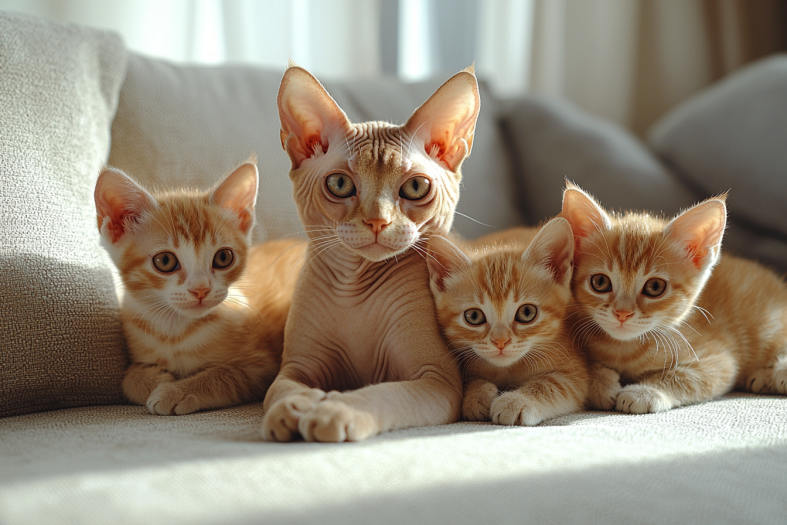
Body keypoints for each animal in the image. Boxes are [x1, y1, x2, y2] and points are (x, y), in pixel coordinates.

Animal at [262, 65, 480, 442]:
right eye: (339, 184)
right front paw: (292, 408)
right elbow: (279, 390)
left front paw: (335, 409)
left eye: (416, 187)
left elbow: (382, 393)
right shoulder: (295, 367)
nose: (378, 220)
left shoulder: (437, 378)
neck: (354, 291)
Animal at [564, 182, 787, 412]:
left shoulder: (718, 361)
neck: (624, 349)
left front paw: (644, 392)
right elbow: (586, 368)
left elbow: (686, 377)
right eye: (600, 282)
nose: (622, 313)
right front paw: (602, 384)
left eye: (655, 287)